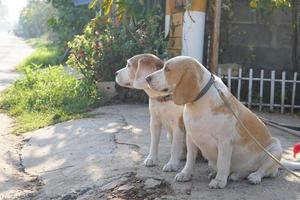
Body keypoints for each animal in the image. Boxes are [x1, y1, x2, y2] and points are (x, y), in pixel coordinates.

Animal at [145, 56, 298, 189]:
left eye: (167, 69)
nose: (147, 78)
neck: (198, 104)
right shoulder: (190, 138)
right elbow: (189, 159)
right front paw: (185, 174)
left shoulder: (224, 142)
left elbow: (223, 163)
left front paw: (219, 181)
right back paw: (234, 175)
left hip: (275, 149)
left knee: (264, 171)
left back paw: (253, 176)